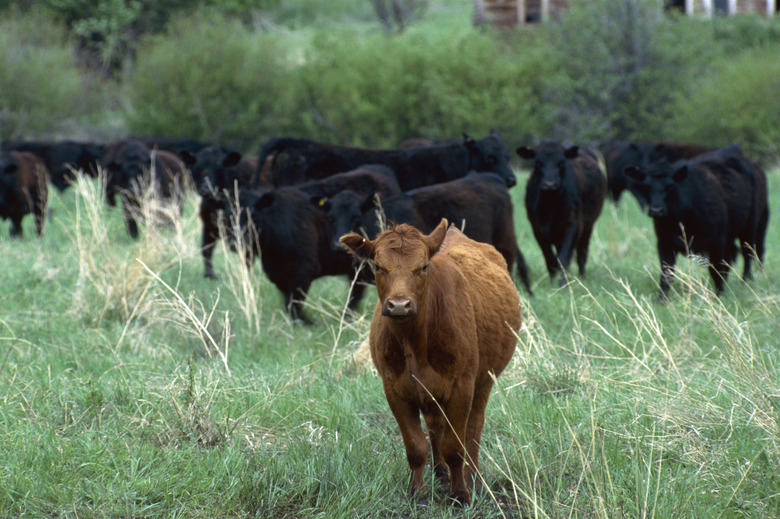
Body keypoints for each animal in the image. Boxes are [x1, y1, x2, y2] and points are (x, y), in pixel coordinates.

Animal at [340, 220, 516, 508]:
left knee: (473, 429)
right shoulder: (395, 390)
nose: (400, 305)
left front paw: (460, 495)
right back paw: (440, 471)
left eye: (423, 267)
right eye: (378, 266)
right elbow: (415, 447)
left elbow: (455, 446)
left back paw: (474, 478)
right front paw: (418, 494)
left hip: (483, 381)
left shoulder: (462, 388)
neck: (414, 345)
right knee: (436, 426)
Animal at [516, 140, 608, 288]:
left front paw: (562, 283)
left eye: (561, 163)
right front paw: (552, 280)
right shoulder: (538, 229)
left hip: (588, 227)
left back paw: (581, 277)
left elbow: (564, 257)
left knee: (582, 253)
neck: (551, 204)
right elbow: (550, 257)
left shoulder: (573, 226)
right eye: (538, 163)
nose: (549, 184)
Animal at [624, 145, 772, 300]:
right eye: (646, 187)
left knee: (748, 253)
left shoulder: (717, 242)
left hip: (751, 226)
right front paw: (661, 300)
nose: (656, 210)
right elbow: (666, 274)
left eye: (670, 186)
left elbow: (716, 270)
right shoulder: (664, 243)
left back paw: (745, 281)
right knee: (735, 254)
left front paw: (719, 296)